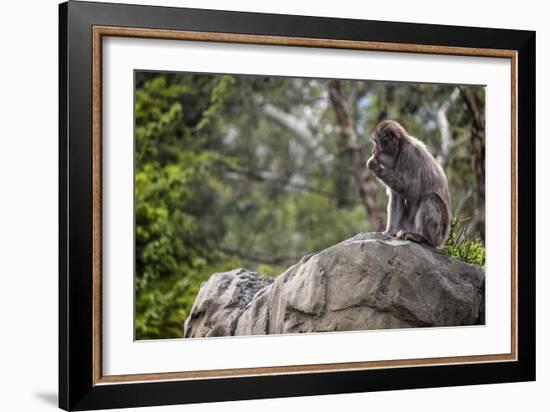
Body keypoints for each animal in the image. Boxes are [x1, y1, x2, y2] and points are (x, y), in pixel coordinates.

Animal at [366, 119, 452, 248]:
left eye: (376, 142)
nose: (373, 151)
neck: (400, 148)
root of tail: (443, 239)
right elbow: (396, 197)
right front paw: (389, 232)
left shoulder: (409, 155)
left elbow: (411, 191)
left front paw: (376, 167)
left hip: (438, 233)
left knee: (430, 197)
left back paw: (422, 237)